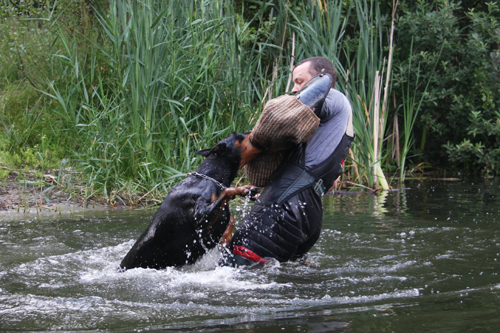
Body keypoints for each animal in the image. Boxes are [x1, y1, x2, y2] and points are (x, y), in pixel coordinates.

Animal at [120, 131, 262, 268]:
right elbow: (226, 192)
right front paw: (243, 188)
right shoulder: (201, 218)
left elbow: (230, 218)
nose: (252, 130)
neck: (209, 177)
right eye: (238, 134)